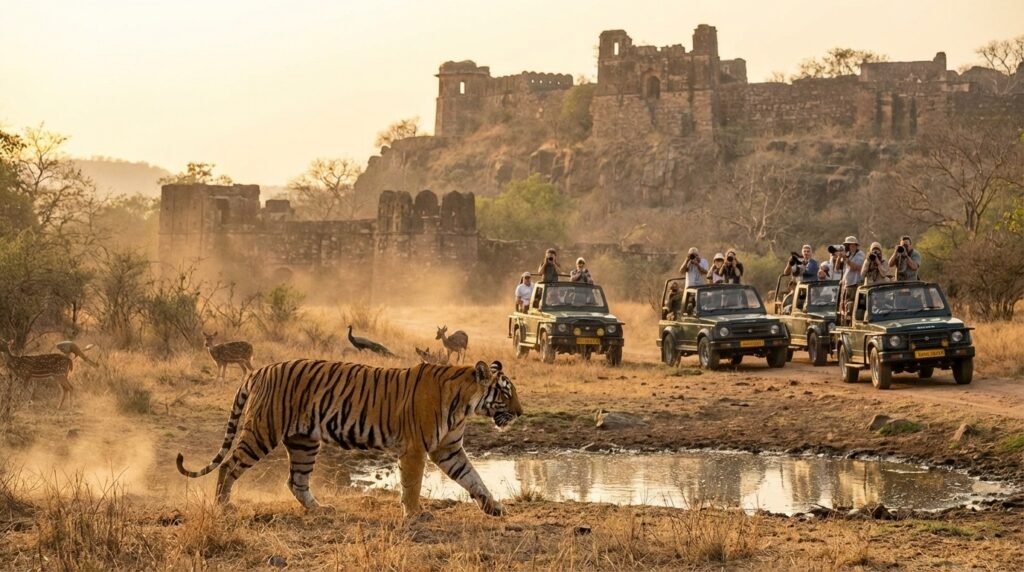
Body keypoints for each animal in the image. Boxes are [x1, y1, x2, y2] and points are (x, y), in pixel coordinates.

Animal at [176, 359, 522, 517]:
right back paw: (223, 506)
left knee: (296, 481)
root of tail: (259, 370)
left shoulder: (449, 449)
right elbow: (412, 484)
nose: (520, 413)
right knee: (229, 465)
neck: (464, 403)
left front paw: (494, 508)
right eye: (506, 393)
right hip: (262, 431)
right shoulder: (415, 449)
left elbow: (474, 478)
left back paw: (320, 509)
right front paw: (413, 514)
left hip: (304, 442)